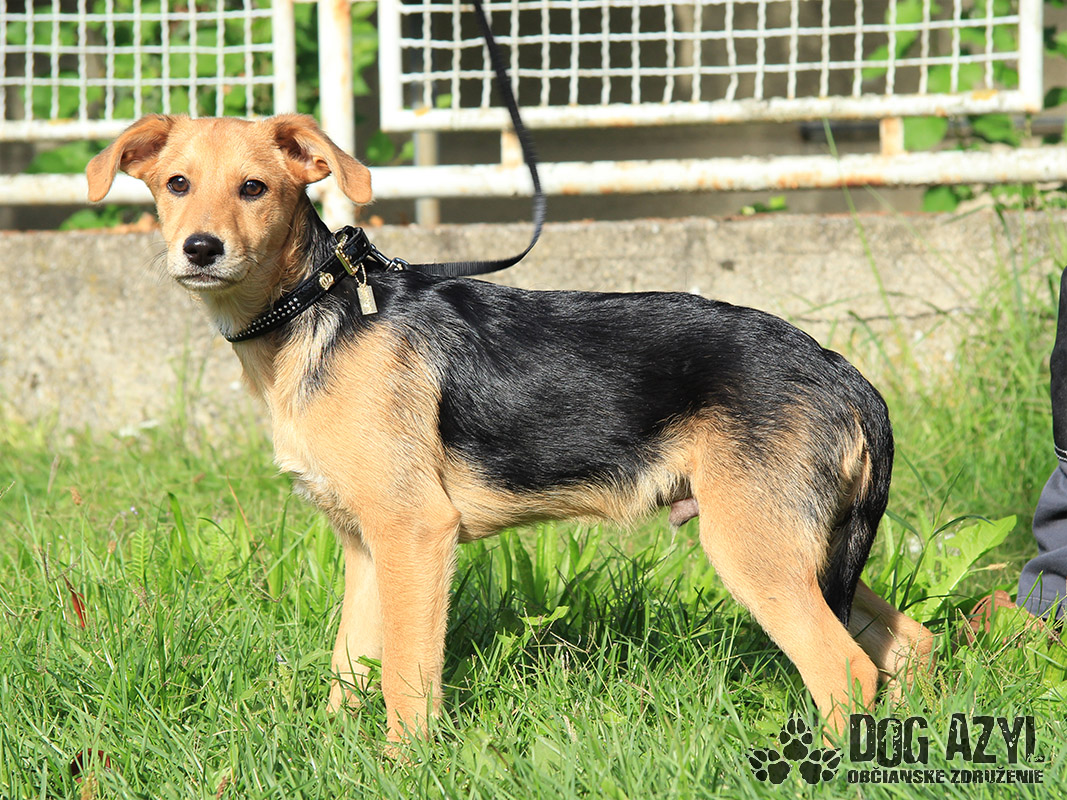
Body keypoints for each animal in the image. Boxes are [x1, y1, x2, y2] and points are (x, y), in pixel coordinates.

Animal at [87, 114, 933, 743]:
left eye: (254, 189)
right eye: (176, 185)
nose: (200, 249)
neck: (317, 311)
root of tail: (842, 373)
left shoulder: (415, 532)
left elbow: (407, 681)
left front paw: (403, 766)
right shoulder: (366, 545)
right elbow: (349, 667)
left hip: (754, 547)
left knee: (845, 671)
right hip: (805, 544)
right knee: (907, 643)